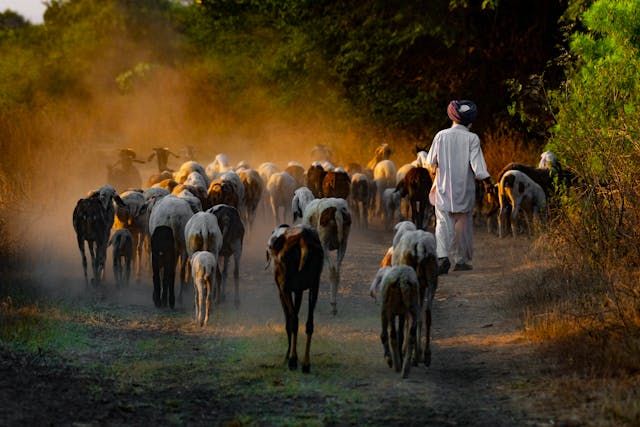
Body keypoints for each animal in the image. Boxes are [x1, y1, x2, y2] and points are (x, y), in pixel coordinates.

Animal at [266, 226, 324, 372]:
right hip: (315, 284)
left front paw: (288, 356)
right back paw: (306, 363)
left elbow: (288, 321)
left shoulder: (282, 290)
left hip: (285, 287)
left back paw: (292, 360)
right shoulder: (299, 290)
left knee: (294, 321)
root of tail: (303, 241)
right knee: (309, 323)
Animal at [390, 229, 440, 366]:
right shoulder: (422, 287)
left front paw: (405, 349)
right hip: (432, 279)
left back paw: (412, 355)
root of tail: (420, 245)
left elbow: (407, 318)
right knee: (427, 313)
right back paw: (426, 354)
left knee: (413, 315)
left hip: (410, 283)